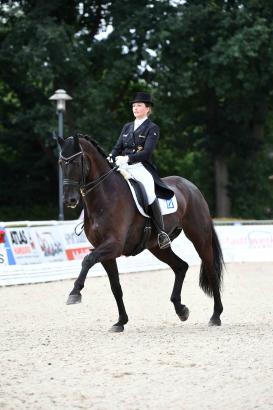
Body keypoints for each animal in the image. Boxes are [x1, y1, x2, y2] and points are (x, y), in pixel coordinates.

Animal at [58, 135, 222, 334]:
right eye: (60, 163)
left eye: (75, 162)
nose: (70, 200)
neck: (104, 196)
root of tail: (191, 187)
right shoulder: (105, 252)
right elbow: (115, 287)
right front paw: (120, 322)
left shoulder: (113, 245)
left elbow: (87, 260)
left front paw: (75, 293)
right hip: (157, 247)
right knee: (181, 266)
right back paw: (181, 310)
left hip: (199, 237)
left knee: (211, 270)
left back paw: (216, 316)